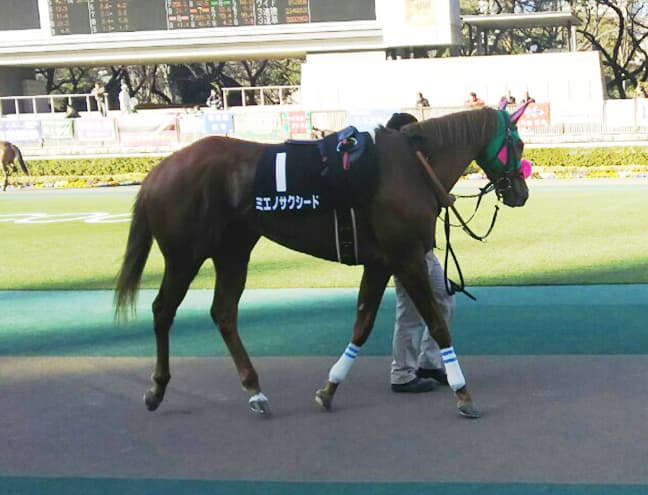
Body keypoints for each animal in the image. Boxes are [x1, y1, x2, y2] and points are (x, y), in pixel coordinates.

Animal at [115, 105, 531, 419]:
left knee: (223, 314)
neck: (412, 166)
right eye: (519, 142)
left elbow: (362, 325)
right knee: (163, 310)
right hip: (185, 256)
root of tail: (158, 170)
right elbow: (437, 325)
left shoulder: (381, 262)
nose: (521, 193)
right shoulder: (407, 258)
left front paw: (329, 388)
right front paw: (463, 393)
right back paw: (156, 389)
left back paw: (255, 390)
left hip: (233, 252)